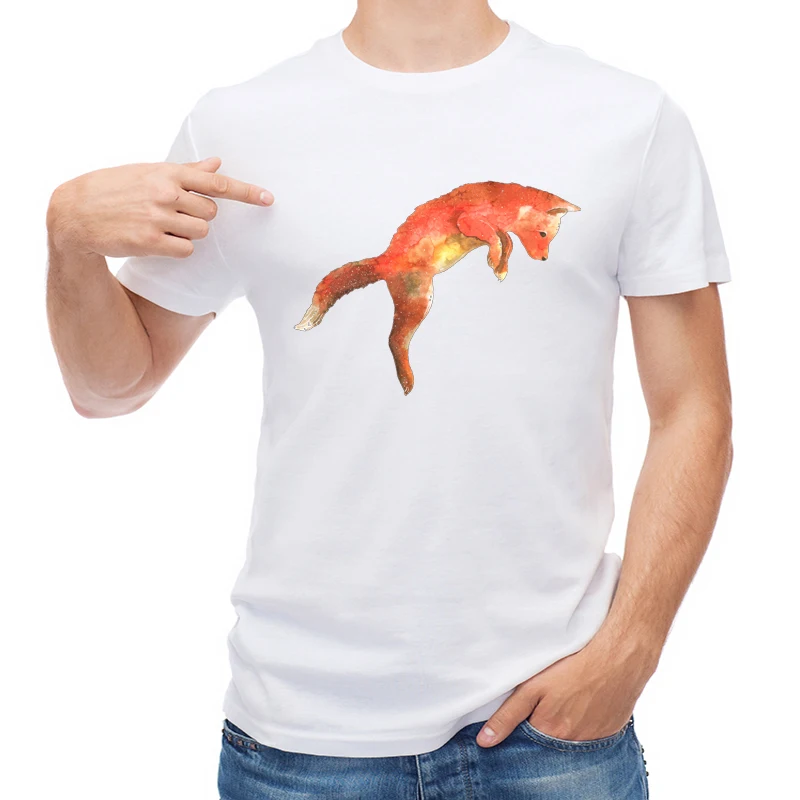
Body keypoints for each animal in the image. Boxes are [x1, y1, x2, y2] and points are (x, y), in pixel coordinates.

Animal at [295, 181, 580, 394]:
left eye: (550, 238)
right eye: (543, 235)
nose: (544, 259)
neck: (498, 201)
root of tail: (384, 261)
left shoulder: (495, 228)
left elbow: (506, 241)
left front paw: (500, 267)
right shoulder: (467, 220)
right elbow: (494, 236)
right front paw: (494, 258)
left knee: (397, 340)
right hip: (419, 304)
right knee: (394, 340)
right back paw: (407, 381)